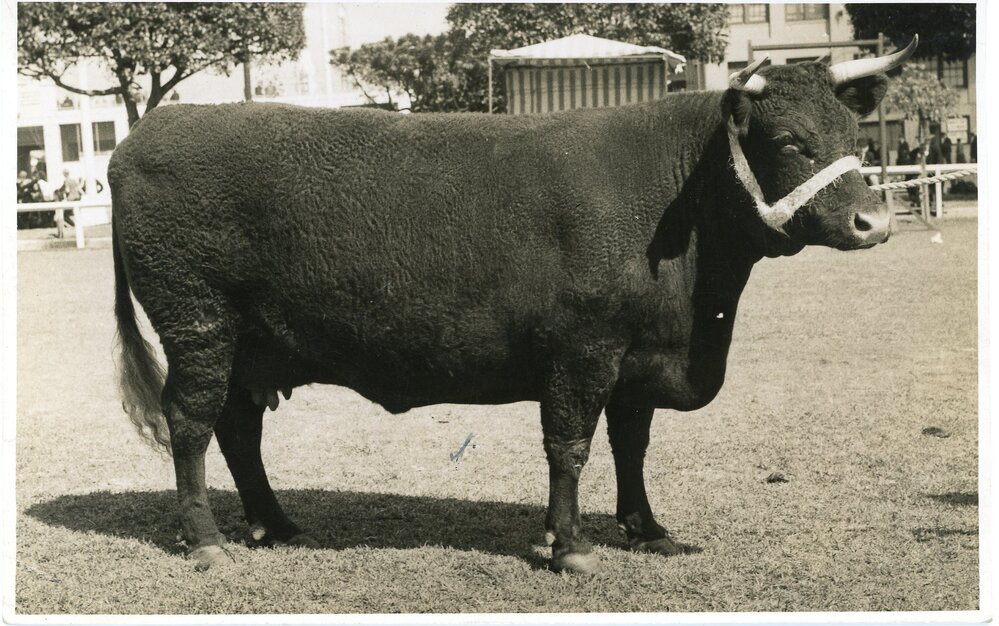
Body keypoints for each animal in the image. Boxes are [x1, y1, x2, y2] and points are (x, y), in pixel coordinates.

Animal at [110, 38, 917, 573]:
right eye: (788, 140)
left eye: (852, 134)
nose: (871, 222)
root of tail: (147, 133)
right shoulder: (582, 351)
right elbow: (570, 447)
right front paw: (570, 547)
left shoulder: (636, 358)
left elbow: (630, 446)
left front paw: (646, 528)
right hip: (199, 325)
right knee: (191, 424)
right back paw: (207, 541)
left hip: (251, 345)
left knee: (239, 428)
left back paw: (273, 524)